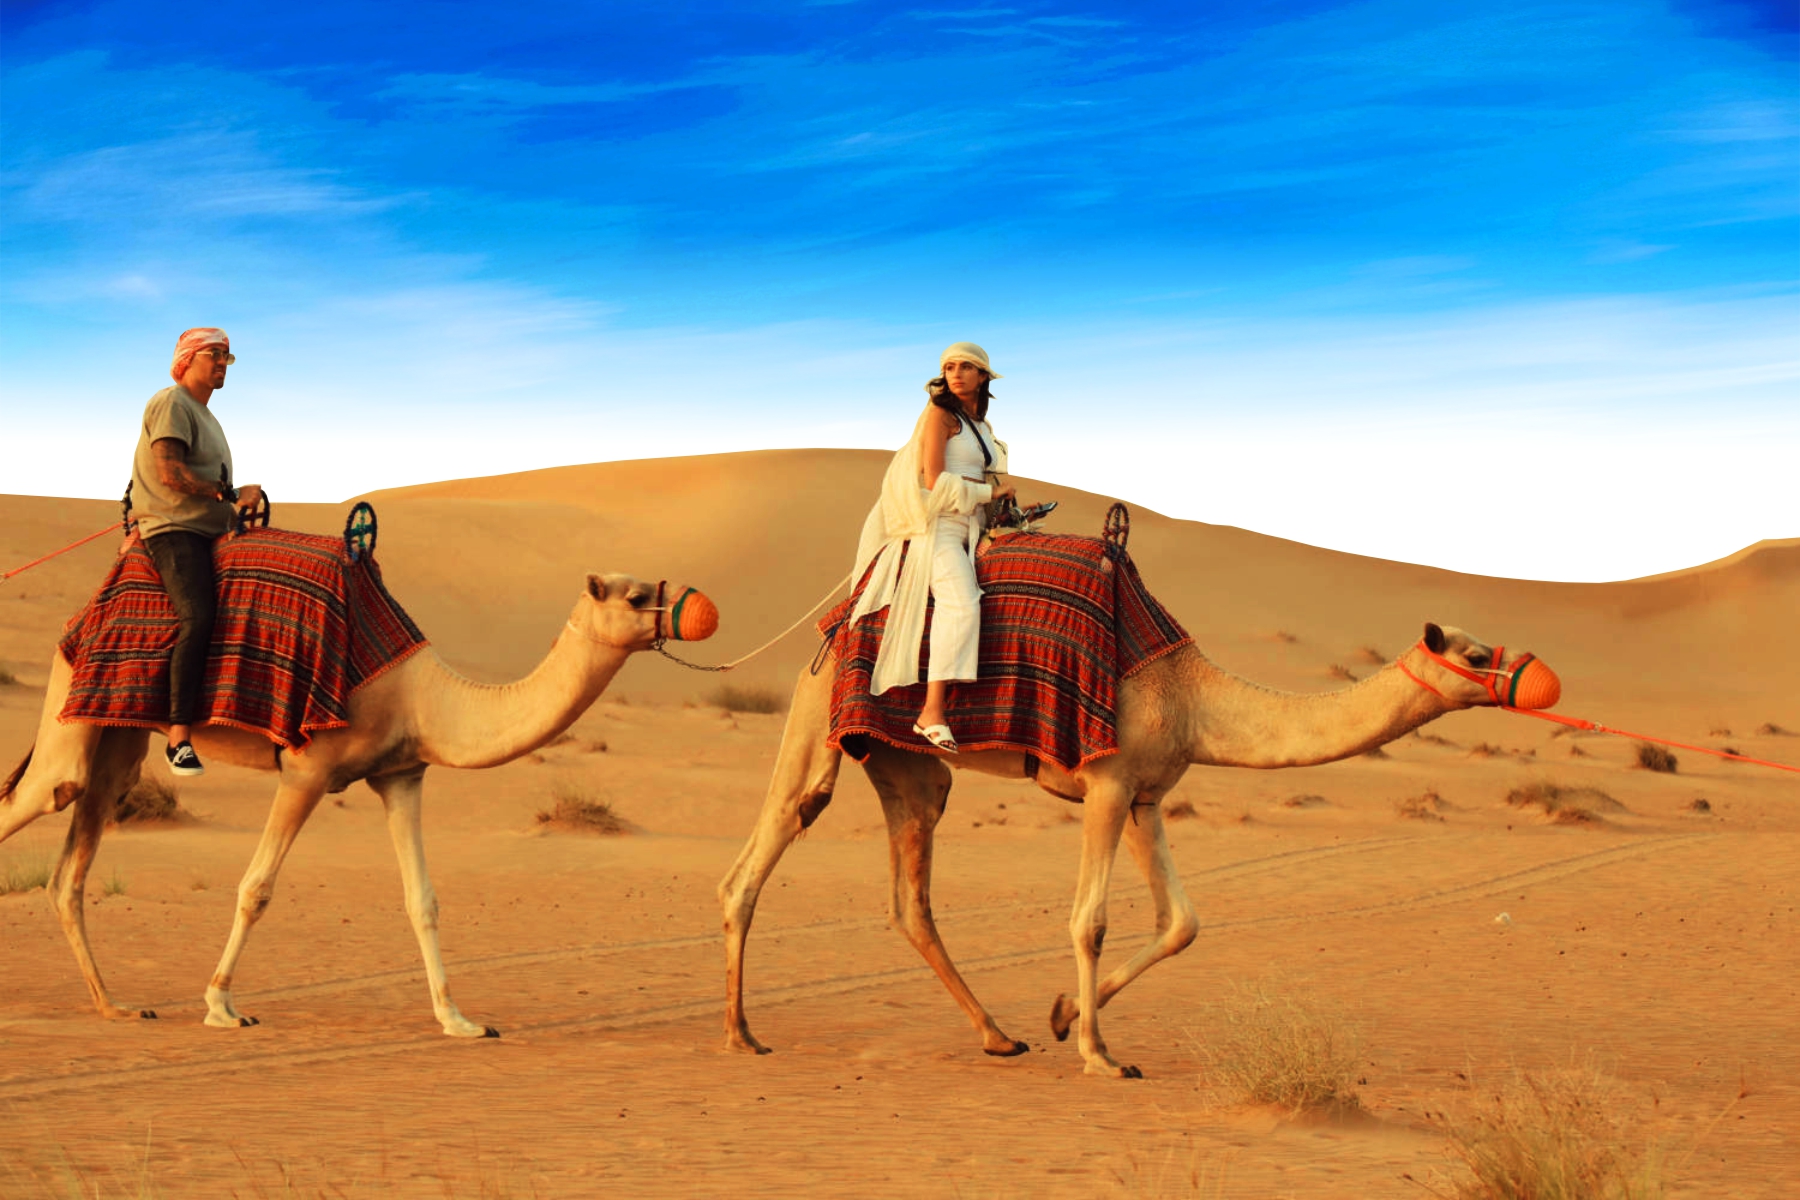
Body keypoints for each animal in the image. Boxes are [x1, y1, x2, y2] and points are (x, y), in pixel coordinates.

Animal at [2, 570, 709, 1037]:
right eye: (636, 596)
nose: (699, 608)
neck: (421, 695)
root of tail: (79, 619)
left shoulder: (401, 774)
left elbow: (422, 900)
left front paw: (459, 1019)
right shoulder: (307, 769)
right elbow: (256, 888)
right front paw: (221, 1006)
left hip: (118, 736)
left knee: (70, 866)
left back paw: (115, 1006)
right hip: (72, 712)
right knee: (44, 792)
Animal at [719, 620, 1555, 1077]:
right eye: (1474, 655)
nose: (1531, 676)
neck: (1194, 697)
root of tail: (831, 634)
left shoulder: (1148, 795)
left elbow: (1182, 923)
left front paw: (1062, 1016)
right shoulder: (1108, 783)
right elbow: (1088, 920)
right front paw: (1101, 1054)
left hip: (907, 765)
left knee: (909, 899)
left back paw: (1000, 1037)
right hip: (817, 721)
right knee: (755, 863)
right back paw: (741, 1035)